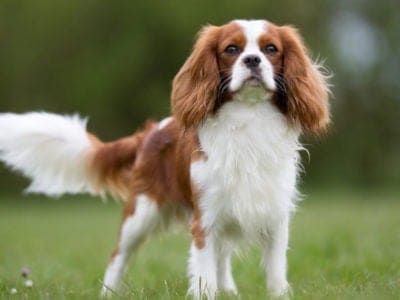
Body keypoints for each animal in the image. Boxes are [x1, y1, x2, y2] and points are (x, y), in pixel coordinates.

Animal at [0, 19, 330, 298]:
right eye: (231, 50)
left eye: (270, 49)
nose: (252, 60)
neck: (249, 118)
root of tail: (149, 133)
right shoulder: (204, 220)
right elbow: (204, 275)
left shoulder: (274, 217)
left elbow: (275, 274)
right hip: (141, 213)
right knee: (118, 256)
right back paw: (108, 292)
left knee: (222, 258)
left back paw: (230, 291)